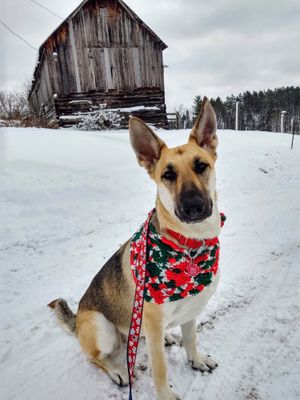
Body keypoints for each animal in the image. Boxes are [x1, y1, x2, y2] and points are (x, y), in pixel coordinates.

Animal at [48, 97, 223, 400]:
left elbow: (191, 339)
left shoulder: (190, 312)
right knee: (96, 357)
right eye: (168, 174)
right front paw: (165, 395)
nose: (193, 207)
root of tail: (78, 319)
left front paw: (197, 360)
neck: (190, 247)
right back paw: (117, 370)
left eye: (201, 166)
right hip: (102, 327)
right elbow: (160, 368)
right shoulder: (152, 323)